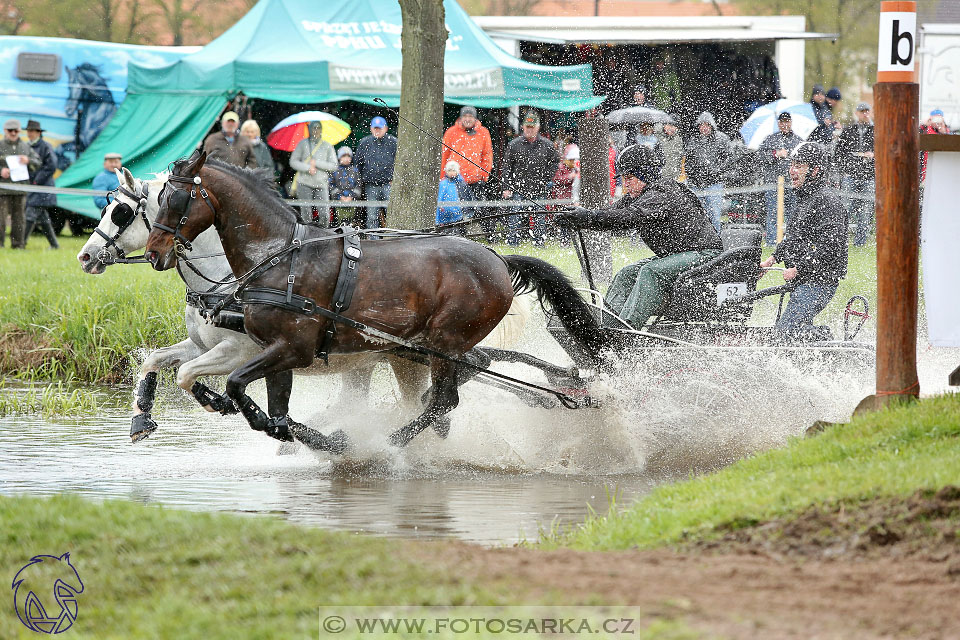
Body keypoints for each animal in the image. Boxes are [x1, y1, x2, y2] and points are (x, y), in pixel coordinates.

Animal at [79, 168, 532, 442]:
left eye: (121, 212)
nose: (85, 256)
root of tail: (497, 259)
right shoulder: (207, 345)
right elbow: (157, 359)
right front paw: (141, 417)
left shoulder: (239, 350)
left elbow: (187, 374)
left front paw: (221, 402)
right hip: (402, 356)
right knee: (447, 387)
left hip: (431, 348)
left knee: (455, 387)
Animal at [145, 151, 604, 450]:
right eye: (156, 200)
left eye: (177, 199)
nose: (153, 253)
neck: (279, 256)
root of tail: (498, 259)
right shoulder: (276, 349)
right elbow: (275, 409)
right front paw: (299, 433)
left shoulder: (291, 348)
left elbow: (239, 385)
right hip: (421, 347)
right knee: (457, 385)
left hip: (443, 342)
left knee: (445, 399)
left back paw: (391, 442)